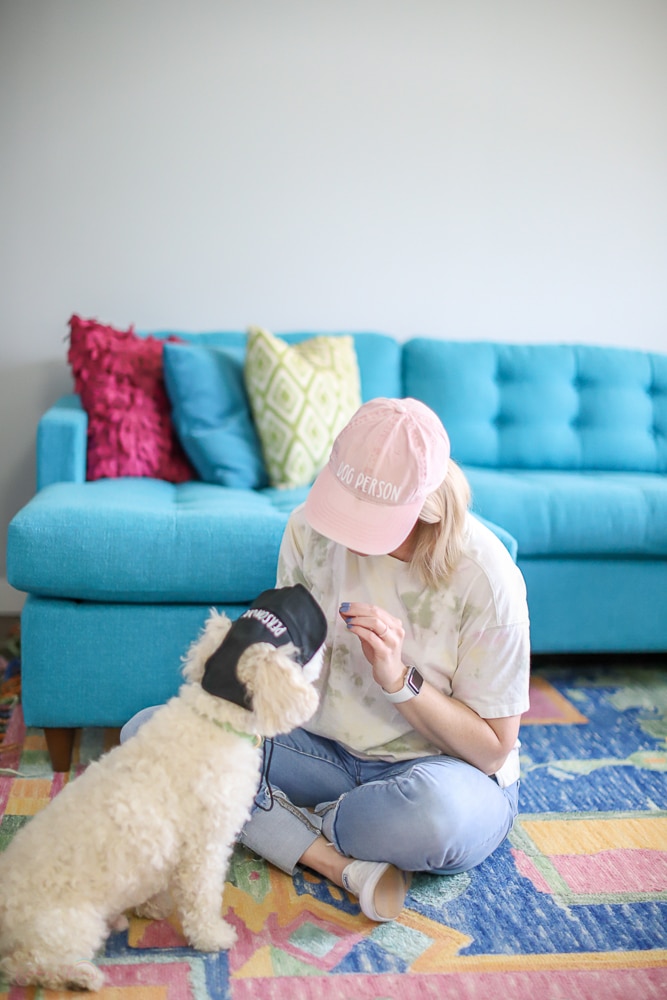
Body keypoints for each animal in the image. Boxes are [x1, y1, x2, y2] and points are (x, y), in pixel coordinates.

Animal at [0, 584, 326, 992]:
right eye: (306, 643)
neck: (216, 716)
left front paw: (153, 907)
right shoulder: (206, 849)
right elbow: (202, 902)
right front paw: (214, 937)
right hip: (68, 927)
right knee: (27, 965)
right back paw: (82, 975)